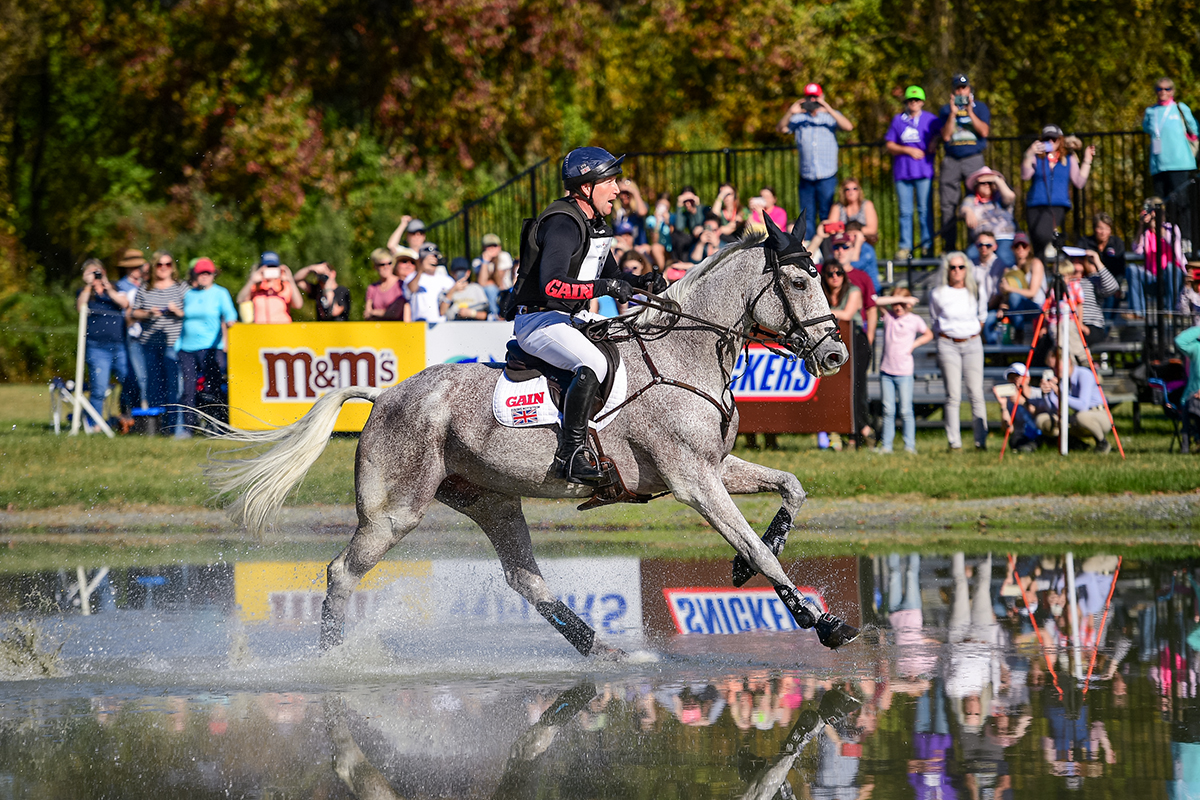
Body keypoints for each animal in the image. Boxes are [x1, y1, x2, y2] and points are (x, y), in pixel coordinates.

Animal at [211, 212, 859, 657]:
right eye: (800, 283)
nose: (835, 355)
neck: (686, 351)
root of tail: (387, 395)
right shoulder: (691, 479)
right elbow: (754, 541)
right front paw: (822, 623)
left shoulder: (716, 467)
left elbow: (791, 489)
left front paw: (748, 570)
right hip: (395, 512)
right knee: (343, 572)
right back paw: (332, 659)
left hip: (491, 499)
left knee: (526, 579)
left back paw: (604, 650)